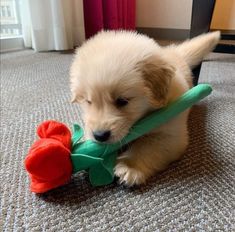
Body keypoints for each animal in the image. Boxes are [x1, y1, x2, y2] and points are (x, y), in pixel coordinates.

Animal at [70, 31, 220, 187]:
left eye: (122, 101)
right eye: (88, 101)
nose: (99, 136)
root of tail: (174, 53)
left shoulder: (171, 135)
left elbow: (146, 148)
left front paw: (130, 167)